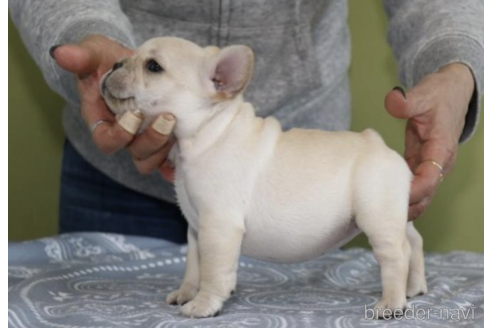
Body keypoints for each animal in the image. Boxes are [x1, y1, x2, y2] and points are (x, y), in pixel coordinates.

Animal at [101, 37, 426, 320]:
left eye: (153, 67)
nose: (115, 63)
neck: (208, 132)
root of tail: (378, 143)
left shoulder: (219, 226)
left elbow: (213, 271)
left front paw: (204, 305)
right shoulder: (196, 228)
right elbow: (194, 265)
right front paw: (186, 293)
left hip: (377, 215)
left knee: (396, 255)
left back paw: (391, 303)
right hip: (396, 212)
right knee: (414, 241)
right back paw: (413, 289)